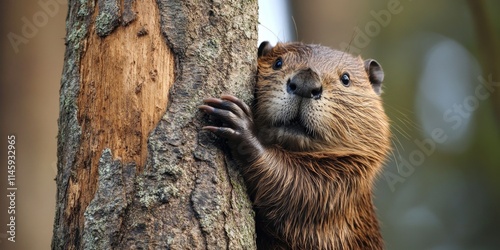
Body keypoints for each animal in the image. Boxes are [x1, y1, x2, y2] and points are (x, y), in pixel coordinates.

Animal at [198, 42, 390, 249]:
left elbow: (299, 189)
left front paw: (235, 119)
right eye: (278, 62)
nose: (305, 83)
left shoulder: (343, 185)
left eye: (346, 78)